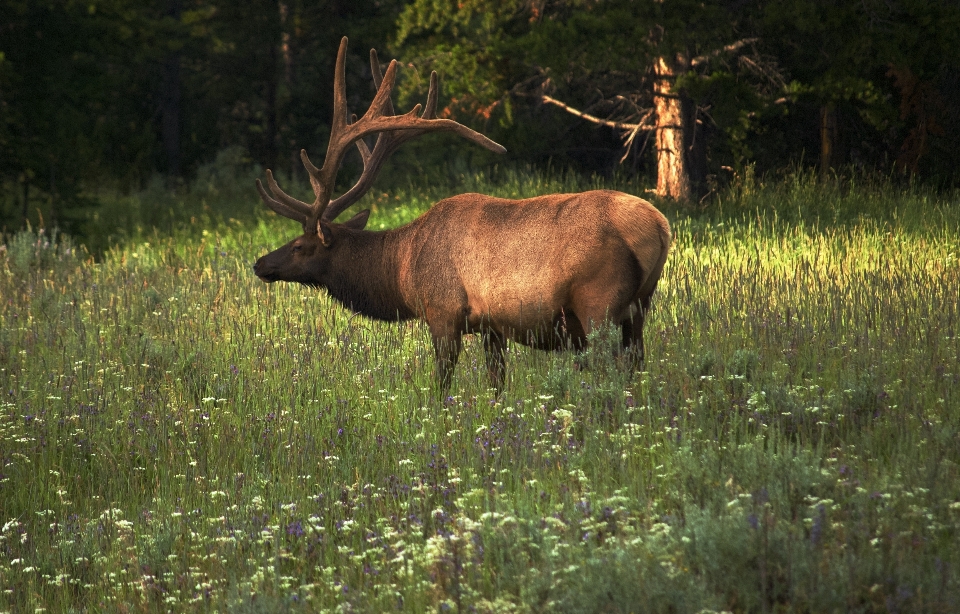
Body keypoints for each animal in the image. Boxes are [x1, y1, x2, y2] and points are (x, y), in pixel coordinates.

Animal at [255, 38, 676, 394]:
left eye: (299, 245)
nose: (260, 263)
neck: (403, 269)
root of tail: (659, 228)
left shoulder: (443, 311)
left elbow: (442, 385)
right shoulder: (492, 326)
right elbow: (496, 384)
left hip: (598, 303)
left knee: (613, 372)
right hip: (639, 307)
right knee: (636, 365)